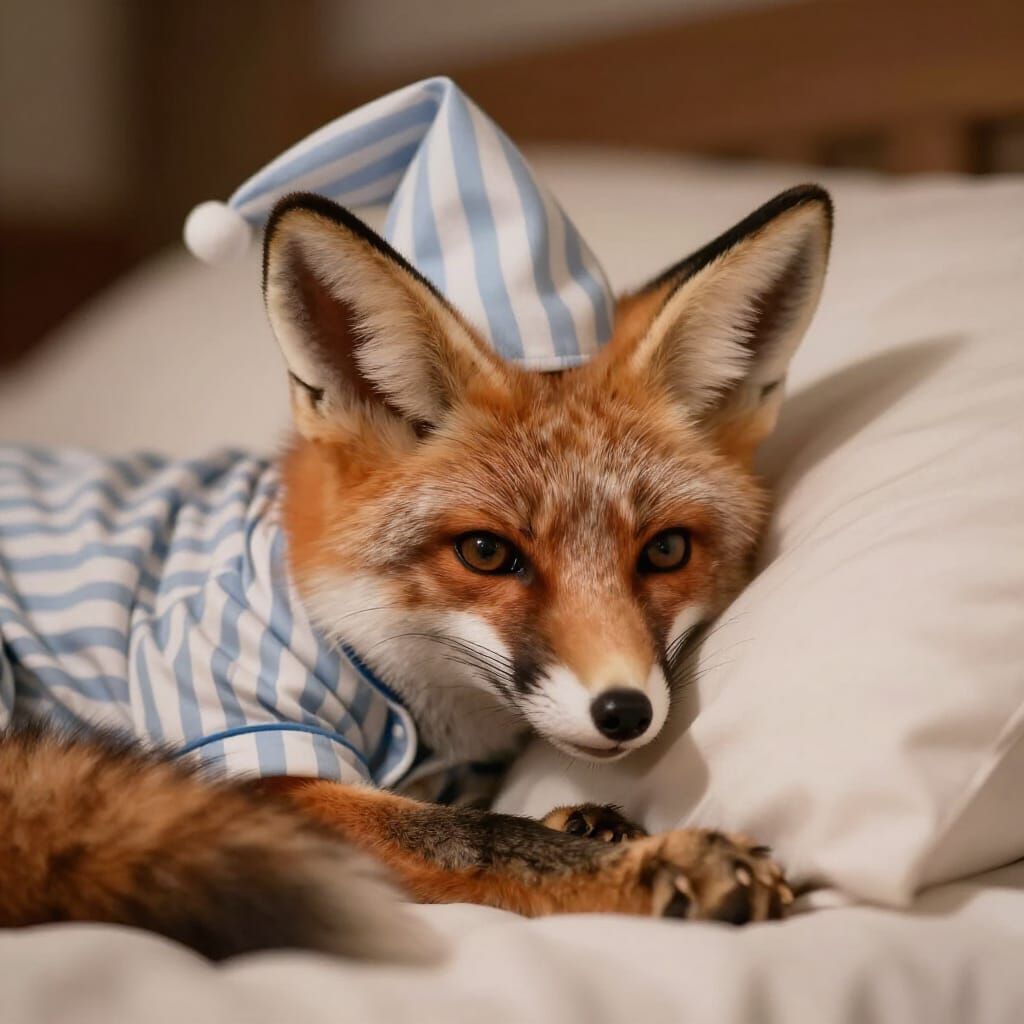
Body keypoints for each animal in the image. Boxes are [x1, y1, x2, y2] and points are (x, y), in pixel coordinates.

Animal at [0, 183, 832, 961]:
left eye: (665, 551)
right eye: (486, 553)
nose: (624, 711)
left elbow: (475, 817)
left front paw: (591, 825)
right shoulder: (248, 756)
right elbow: (471, 837)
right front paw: (650, 867)